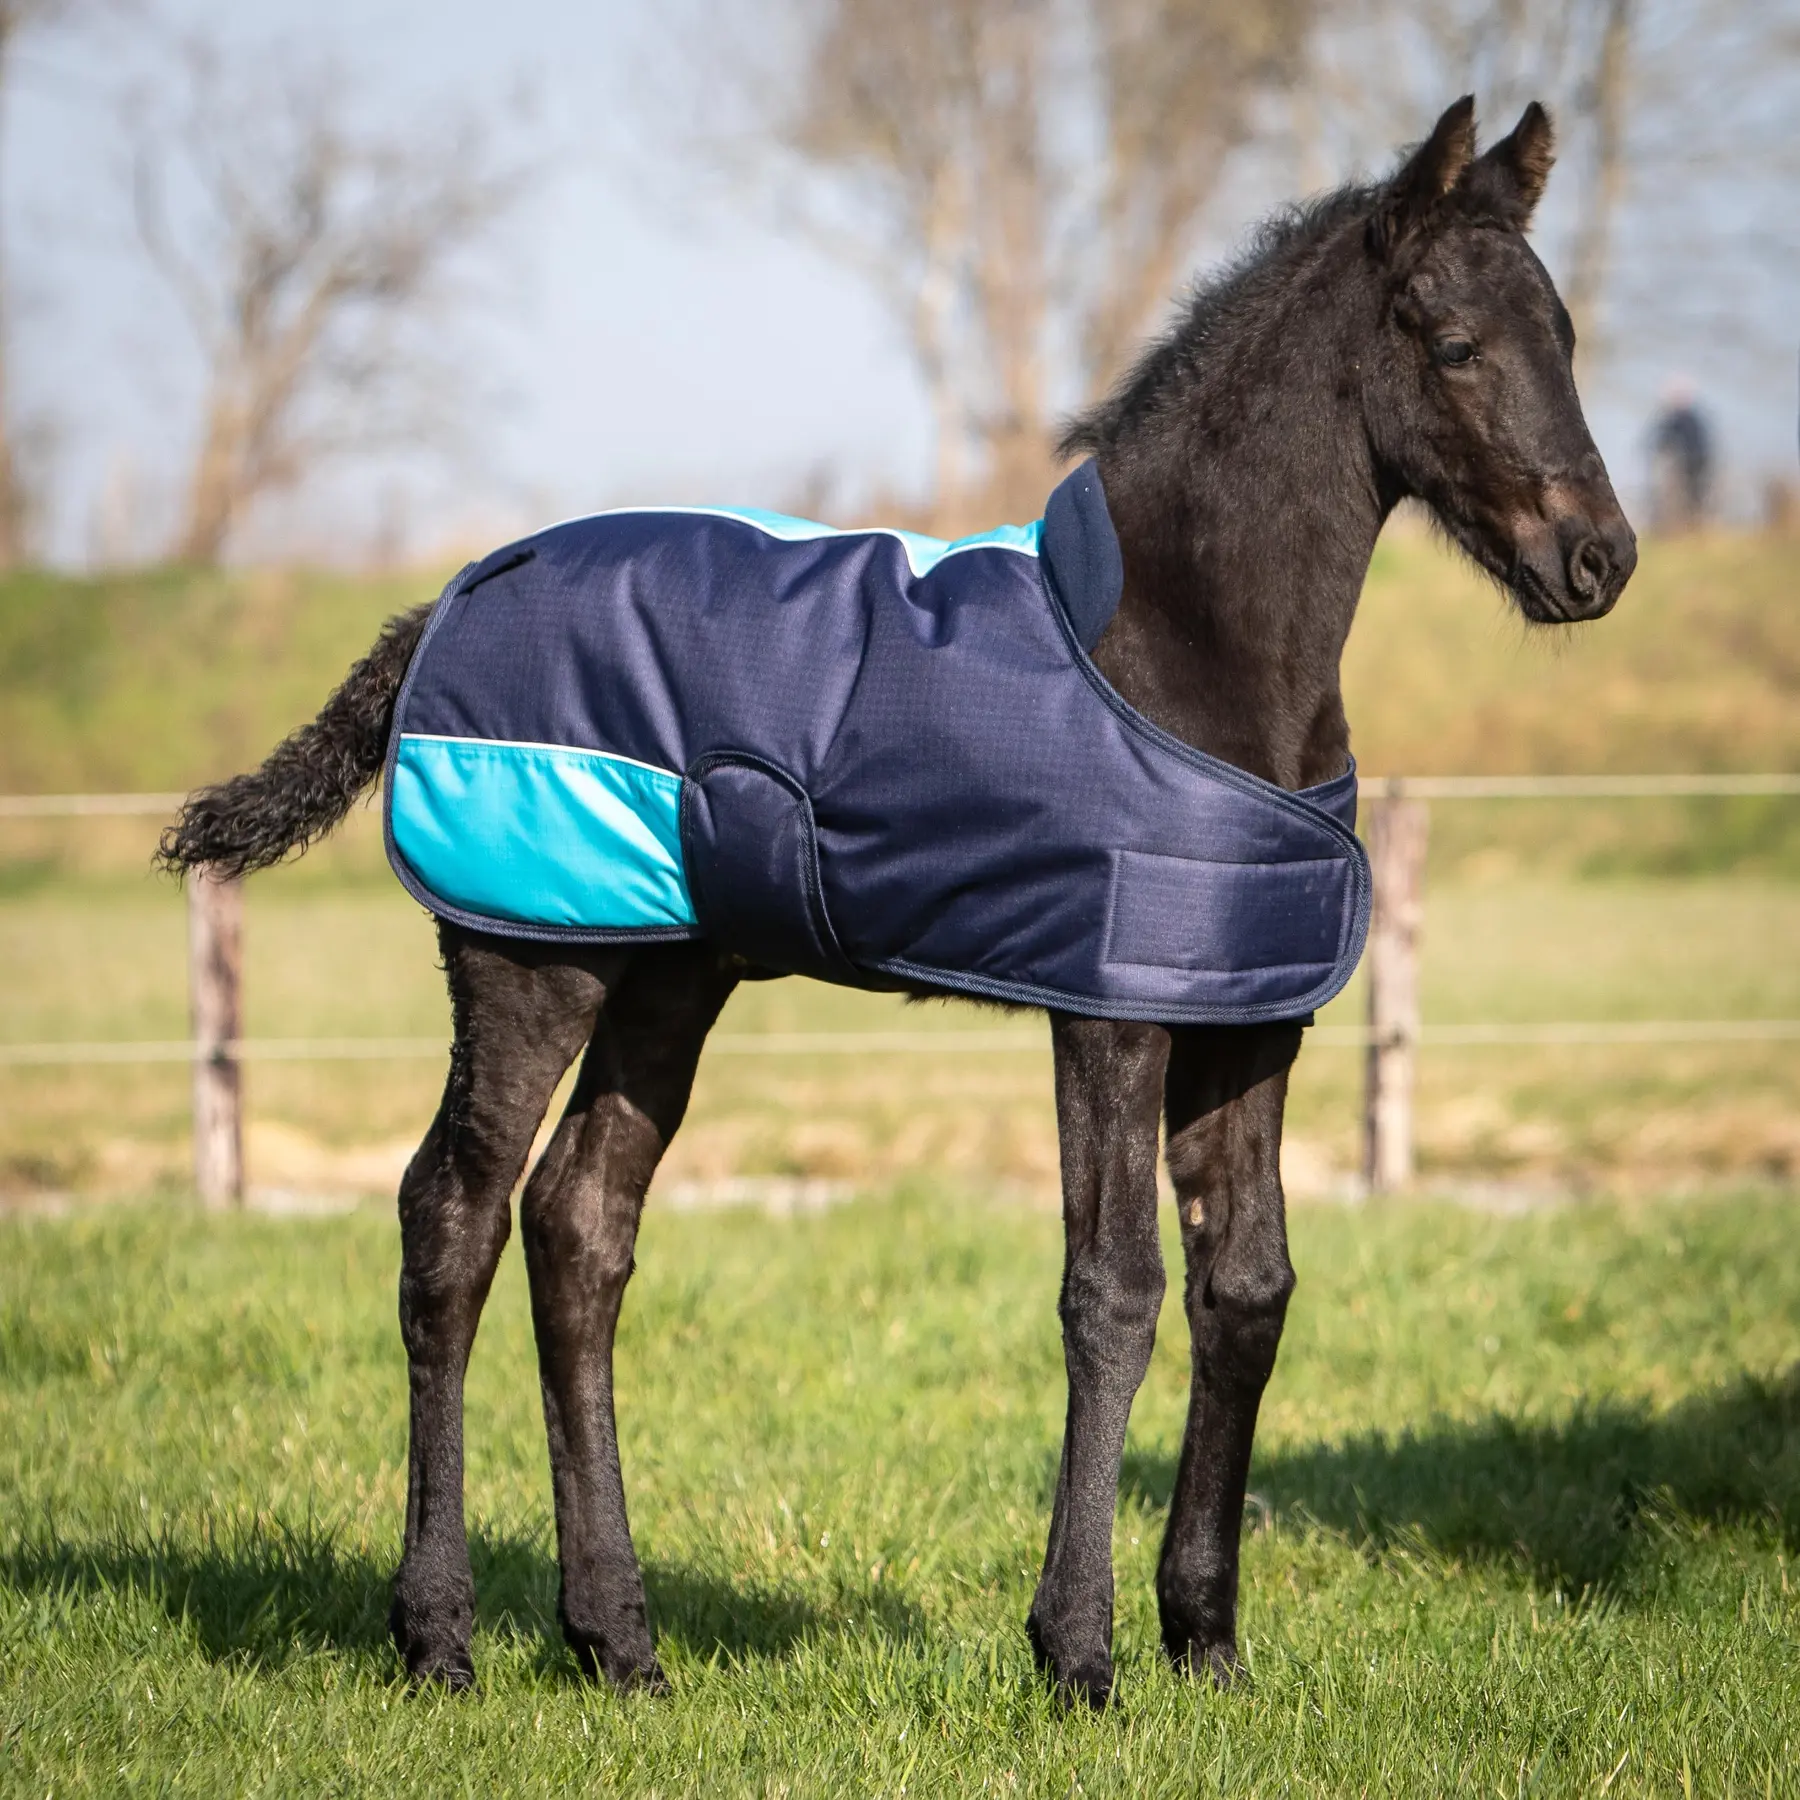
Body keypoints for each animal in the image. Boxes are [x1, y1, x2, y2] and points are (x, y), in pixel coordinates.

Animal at [160, 97, 1635, 1707]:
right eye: (1454, 343)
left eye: (1566, 332)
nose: (1599, 559)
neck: (1179, 653)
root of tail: (449, 600)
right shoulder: (1108, 1014)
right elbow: (1112, 1293)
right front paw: (1079, 1657)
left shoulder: (1248, 1019)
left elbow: (1247, 1290)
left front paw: (1209, 1645)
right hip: (524, 955)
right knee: (455, 1221)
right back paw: (438, 1638)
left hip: (665, 973)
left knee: (579, 1228)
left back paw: (620, 1643)